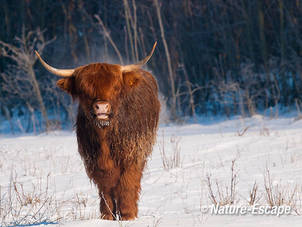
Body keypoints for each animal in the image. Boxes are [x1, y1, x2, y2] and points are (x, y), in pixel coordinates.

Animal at [35, 43, 160, 221]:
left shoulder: (133, 155)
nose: (101, 107)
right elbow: (106, 188)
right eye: (84, 89)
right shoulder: (95, 161)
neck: (105, 137)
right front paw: (107, 216)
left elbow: (127, 184)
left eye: (115, 87)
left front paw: (128, 215)